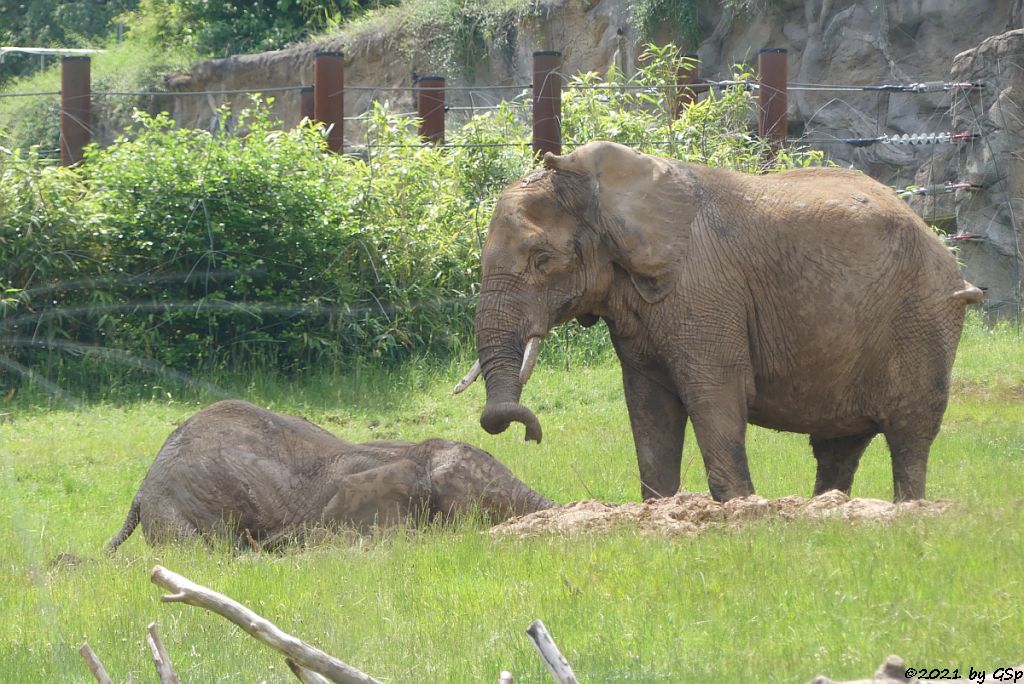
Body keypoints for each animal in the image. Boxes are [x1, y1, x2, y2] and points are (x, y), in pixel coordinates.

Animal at [458, 140, 983, 501]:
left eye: (542, 260)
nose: (531, 434)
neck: (607, 186)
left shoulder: (706, 288)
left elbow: (714, 394)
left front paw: (738, 510)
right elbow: (649, 404)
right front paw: (660, 509)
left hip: (924, 317)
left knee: (910, 433)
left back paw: (905, 510)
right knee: (839, 446)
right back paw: (827, 508)